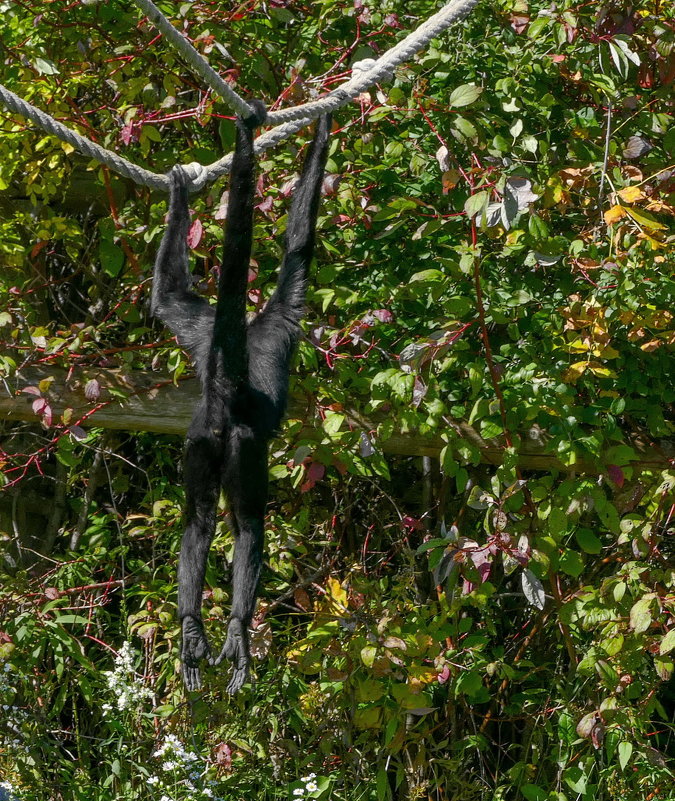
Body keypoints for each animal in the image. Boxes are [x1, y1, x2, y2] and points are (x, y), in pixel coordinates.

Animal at [152, 98, 334, 688]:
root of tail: (222, 396)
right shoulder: (284, 315)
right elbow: (298, 250)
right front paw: (321, 128)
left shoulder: (198, 323)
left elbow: (169, 297)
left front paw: (179, 194)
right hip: (242, 445)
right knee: (248, 523)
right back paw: (237, 629)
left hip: (199, 442)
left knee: (197, 519)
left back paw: (192, 628)